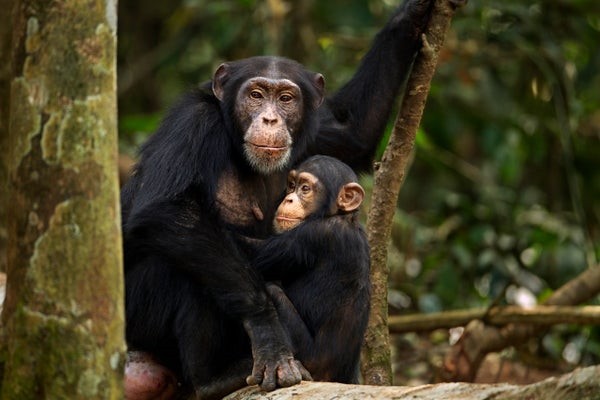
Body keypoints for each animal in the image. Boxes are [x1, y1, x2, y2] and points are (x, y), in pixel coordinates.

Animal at [252, 155, 370, 382]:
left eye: (305, 188)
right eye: (291, 186)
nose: (288, 199)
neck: (342, 216)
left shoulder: (314, 235)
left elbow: (252, 252)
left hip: (309, 357)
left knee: (272, 289)